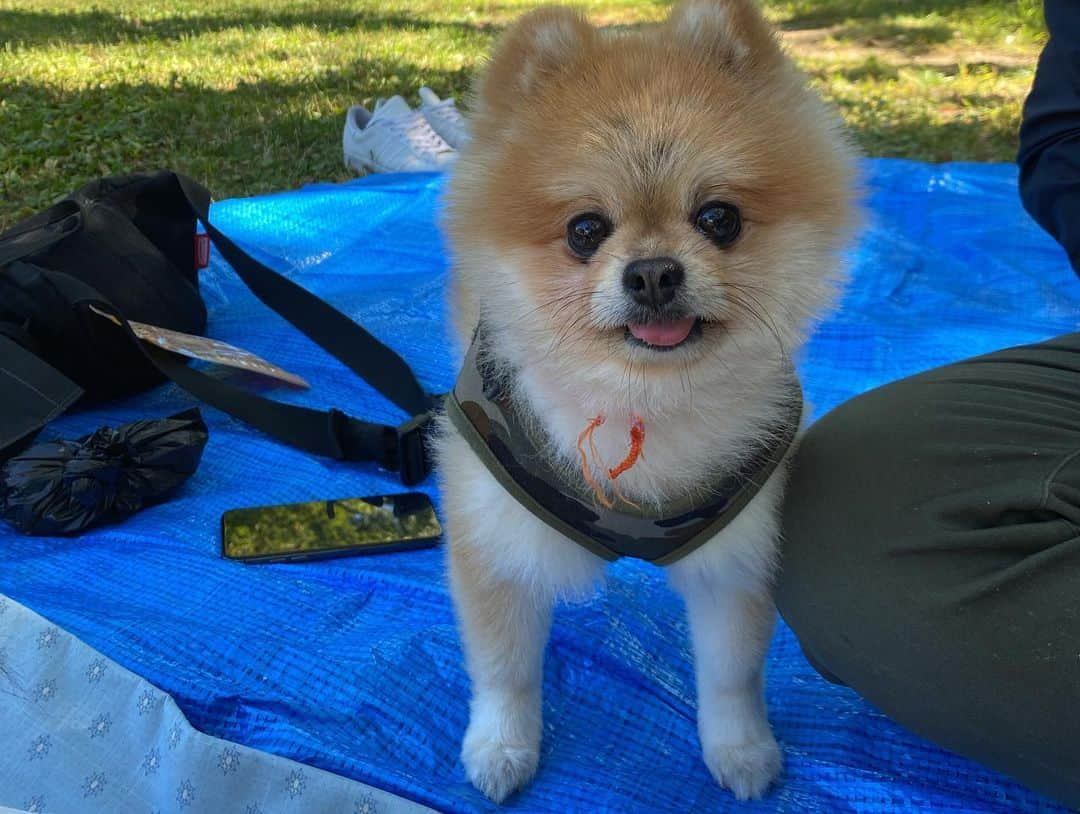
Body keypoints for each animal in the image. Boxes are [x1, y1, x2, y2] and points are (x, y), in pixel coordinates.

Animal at [434, 0, 855, 798]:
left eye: (718, 218)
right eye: (585, 230)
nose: (655, 272)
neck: (643, 401)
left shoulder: (738, 553)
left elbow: (731, 673)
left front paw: (739, 749)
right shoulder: (500, 535)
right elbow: (505, 669)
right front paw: (502, 746)